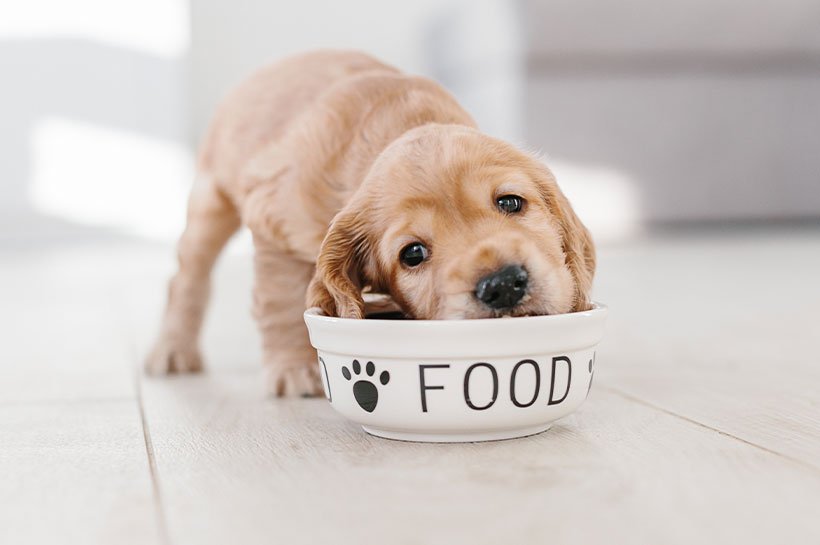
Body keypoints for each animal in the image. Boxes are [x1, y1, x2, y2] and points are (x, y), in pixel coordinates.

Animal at [146, 50, 596, 396]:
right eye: (412, 253)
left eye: (510, 201)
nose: (502, 285)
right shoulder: (273, 222)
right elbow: (281, 300)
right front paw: (293, 369)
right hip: (210, 202)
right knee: (186, 278)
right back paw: (172, 350)